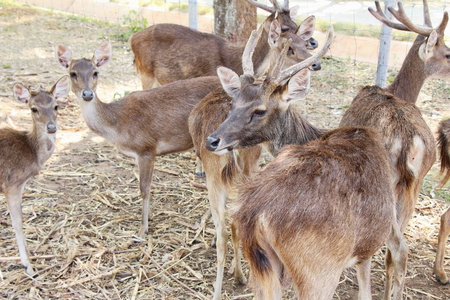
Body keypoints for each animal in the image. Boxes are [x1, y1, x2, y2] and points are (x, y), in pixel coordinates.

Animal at [0, 75, 70, 276]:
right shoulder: (12, 184)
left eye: (56, 106)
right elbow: (17, 222)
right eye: (34, 108)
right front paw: (28, 266)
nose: (51, 127)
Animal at [129, 0, 320, 89]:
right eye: (284, 28)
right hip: (146, 73)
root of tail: (132, 38)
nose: (313, 42)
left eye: (296, 24)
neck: (236, 63)